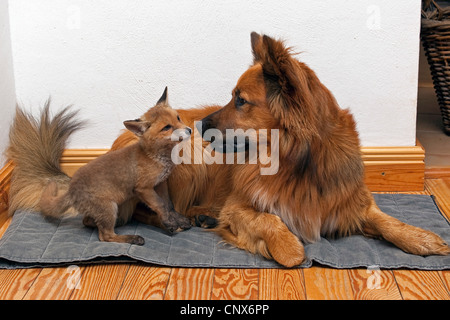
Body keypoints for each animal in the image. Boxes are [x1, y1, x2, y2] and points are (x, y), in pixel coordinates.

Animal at [38, 87, 192, 242]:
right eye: (167, 127)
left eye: (178, 118)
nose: (189, 130)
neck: (156, 157)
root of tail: (71, 189)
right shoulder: (143, 188)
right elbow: (160, 205)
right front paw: (169, 223)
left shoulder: (161, 183)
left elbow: (169, 205)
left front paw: (178, 219)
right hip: (110, 208)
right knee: (105, 236)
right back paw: (132, 238)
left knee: (88, 222)